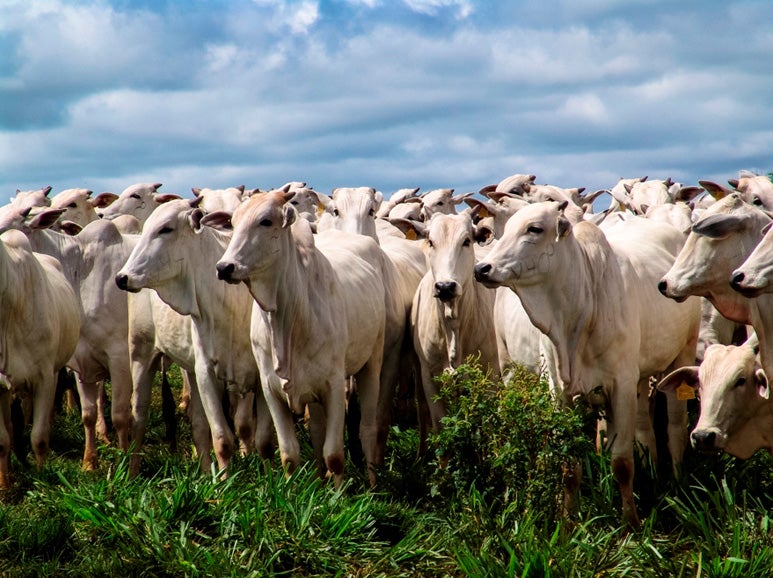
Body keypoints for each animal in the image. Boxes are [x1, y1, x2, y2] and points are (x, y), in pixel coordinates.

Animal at [113, 200, 272, 470]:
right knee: (139, 418)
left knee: (198, 425)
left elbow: (263, 439)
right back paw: (132, 472)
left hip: (189, 369)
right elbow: (222, 439)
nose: (122, 278)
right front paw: (225, 482)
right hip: (141, 353)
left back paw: (206, 472)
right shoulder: (206, 370)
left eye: (166, 229)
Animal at [207, 191, 386, 484]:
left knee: (368, 429)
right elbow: (289, 454)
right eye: (232, 223)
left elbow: (334, 455)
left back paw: (372, 484)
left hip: (372, 363)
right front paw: (293, 488)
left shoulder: (334, 385)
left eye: (266, 221)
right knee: (317, 431)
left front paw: (339, 494)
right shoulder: (270, 389)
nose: (224, 267)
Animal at [474, 199, 704, 528]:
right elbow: (570, 466)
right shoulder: (560, 393)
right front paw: (568, 521)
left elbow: (622, 462)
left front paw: (630, 522)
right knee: (645, 428)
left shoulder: (620, 386)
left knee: (675, 427)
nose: (482, 268)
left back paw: (676, 482)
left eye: (534, 228)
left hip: (682, 354)